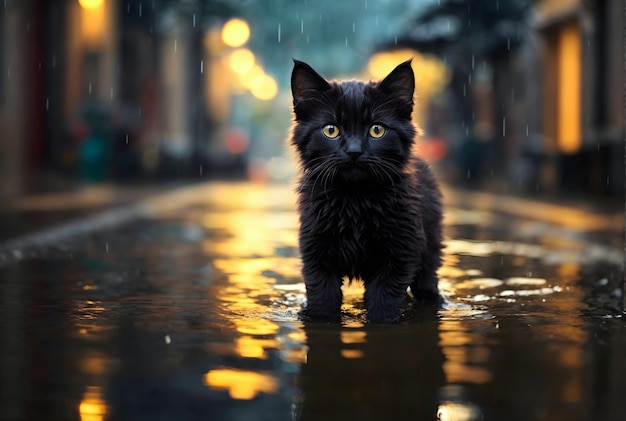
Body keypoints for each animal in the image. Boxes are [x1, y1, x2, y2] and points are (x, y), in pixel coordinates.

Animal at [290, 60, 442, 322]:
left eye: (377, 130)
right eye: (331, 130)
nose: (354, 151)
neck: (355, 199)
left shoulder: (399, 256)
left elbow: (384, 304)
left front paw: (384, 320)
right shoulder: (316, 255)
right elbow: (322, 301)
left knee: (427, 279)